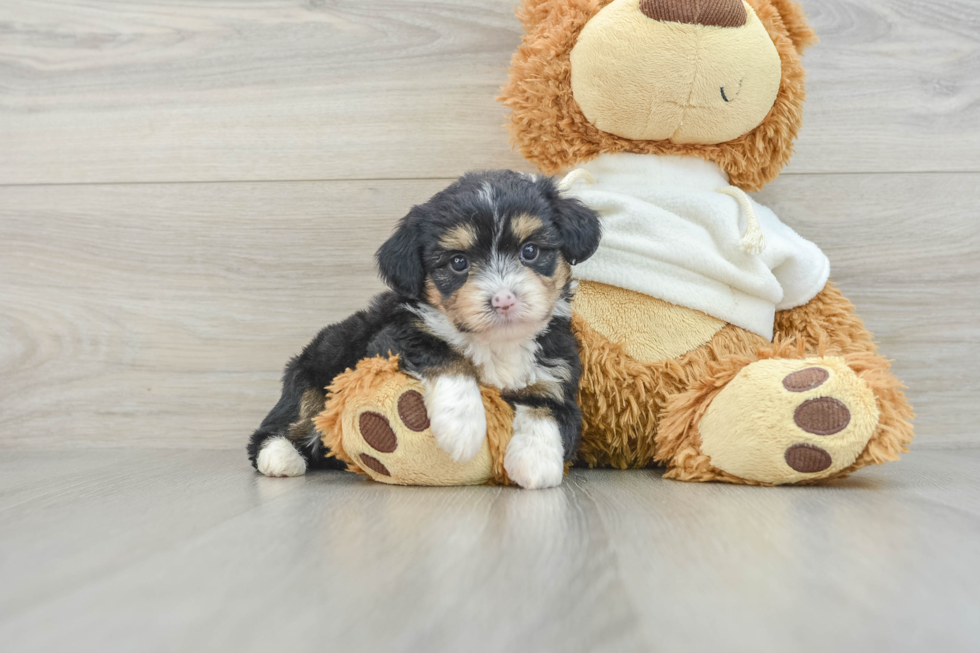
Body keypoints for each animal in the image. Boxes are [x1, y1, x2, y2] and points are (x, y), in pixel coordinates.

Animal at [249, 171, 600, 486]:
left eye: (530, 251)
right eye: (458, 262)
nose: (503, 300)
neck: (495, 343)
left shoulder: (557, 372)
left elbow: (549, 410)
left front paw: (536, 462)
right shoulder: (393, 338)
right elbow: (446, 356)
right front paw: (462, 428)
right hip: (311, 372)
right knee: (284, 420)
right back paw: (279, 456)